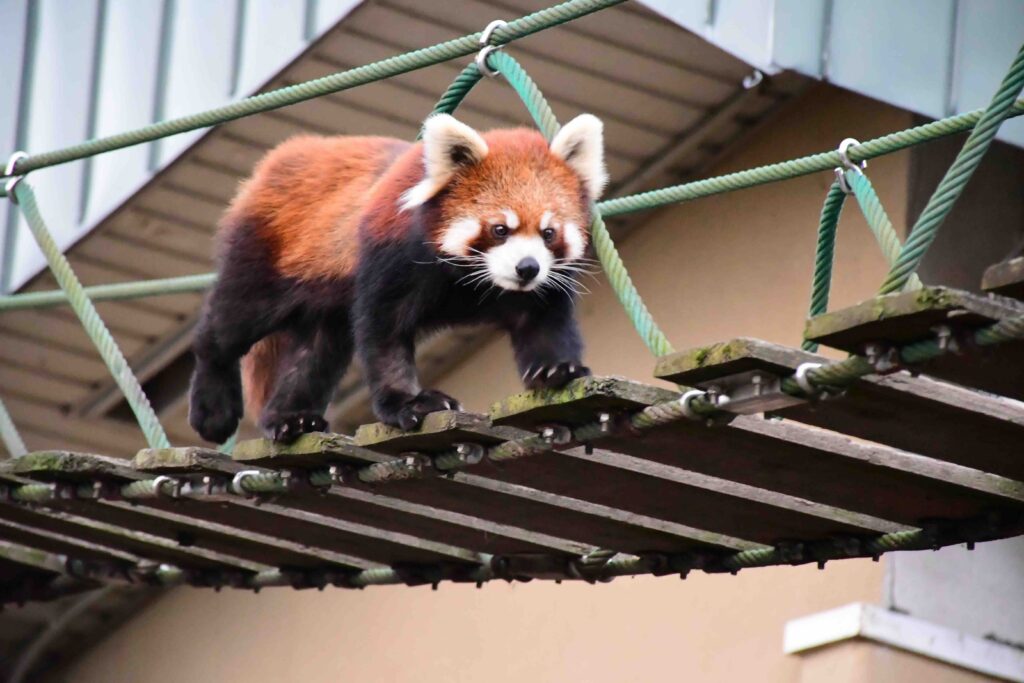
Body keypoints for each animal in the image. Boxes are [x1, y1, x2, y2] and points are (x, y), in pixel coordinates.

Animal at [190, 112, 606, 444]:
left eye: (548, 233)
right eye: (500, 229)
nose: (527, 267)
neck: (474, 282)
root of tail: (281, 157)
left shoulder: (539, 289)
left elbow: (544, 322)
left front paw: (556, 369)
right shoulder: (392, 257)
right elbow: (384, 334)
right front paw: (410, 402)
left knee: (316, 354)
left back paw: (290, 418)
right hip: (269, 253)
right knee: (230, 324)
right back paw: (213, 405)